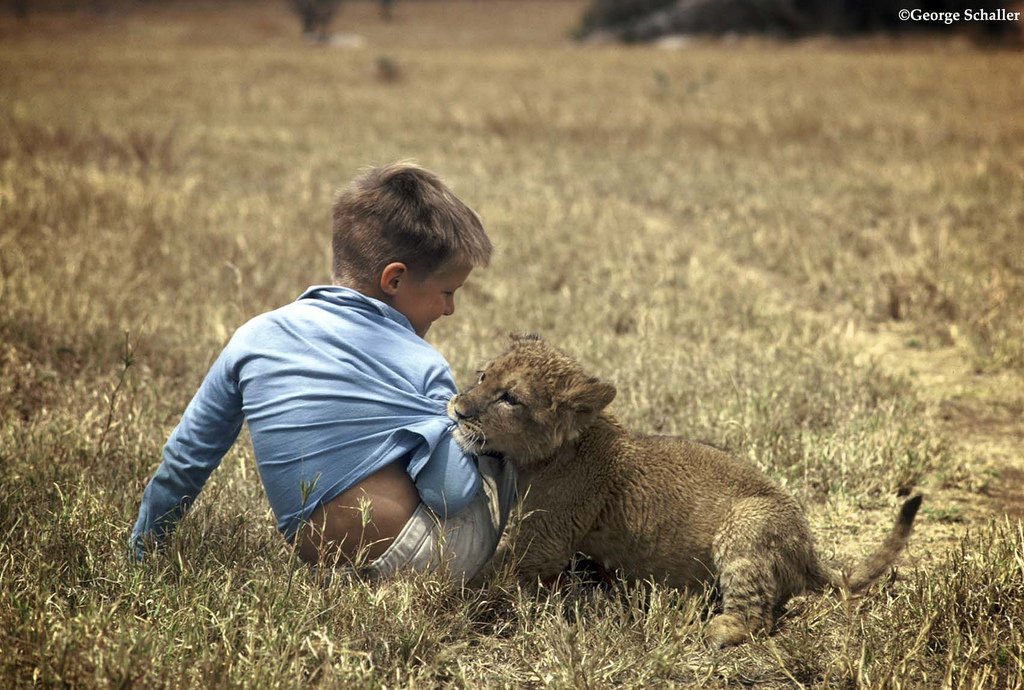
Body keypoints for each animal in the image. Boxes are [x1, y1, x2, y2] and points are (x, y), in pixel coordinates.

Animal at [448, 334, 922, 648]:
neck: (545, 456)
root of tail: (809, 550)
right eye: (483, 376)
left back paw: (711, 629)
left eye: (510, 398)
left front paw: (449, 596)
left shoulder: (541, 547)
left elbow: (491, 575)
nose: (458, 409)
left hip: (747, 525)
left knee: (758, 615)